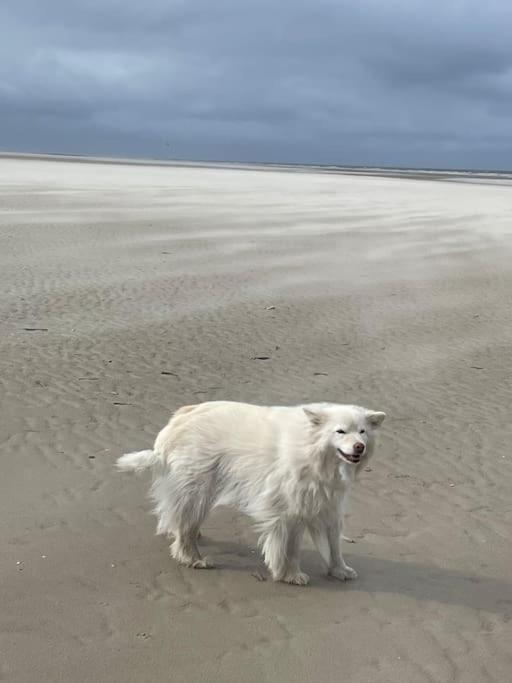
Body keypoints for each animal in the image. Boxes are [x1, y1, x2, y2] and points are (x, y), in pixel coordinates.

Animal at [117, 400, 384, 588]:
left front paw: (339, 570)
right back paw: (193, 558)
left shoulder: (328, 506)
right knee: (184, 527)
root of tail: (173, 424)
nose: (359, 447)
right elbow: (291, 547)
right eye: (340, 432)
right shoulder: (291, 510)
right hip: (197, 488)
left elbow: (334, 545)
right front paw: (290, 574)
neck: (313, 451)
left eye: (362, 432)